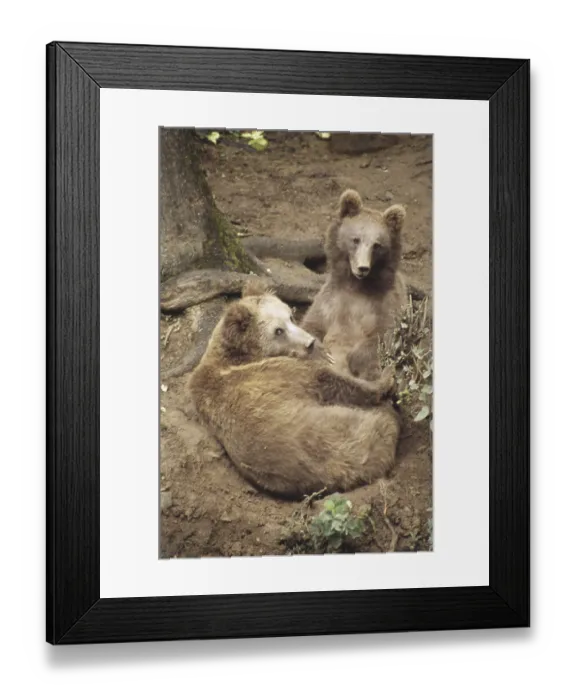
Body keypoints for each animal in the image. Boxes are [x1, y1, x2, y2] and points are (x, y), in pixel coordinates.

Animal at [186, 277, 401, 499]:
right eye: (278, 330)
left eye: (290, 315)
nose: (310, 342)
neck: (235, 355)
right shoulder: (278, 372)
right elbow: (326, 379)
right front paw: (386, 378)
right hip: (342, 434)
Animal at [301, 189, 407, 382]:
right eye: (356, 239)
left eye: (377, 245)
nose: (362, 268)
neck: (357, 286)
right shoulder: (331, 300)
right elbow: (312, 325)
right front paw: (322, 353)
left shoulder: (386, 303)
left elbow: (383, 335)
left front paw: (352, 359)